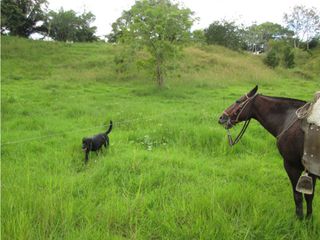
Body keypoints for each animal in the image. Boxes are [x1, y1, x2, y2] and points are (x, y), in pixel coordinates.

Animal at [218, 85, 318, 218]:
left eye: (238, 101)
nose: (221, 118)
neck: (289, 119)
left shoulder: (292, 166)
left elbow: (298, 197)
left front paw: (299, 219)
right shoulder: (311, 171)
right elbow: (309, 197)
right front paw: (308, 219)